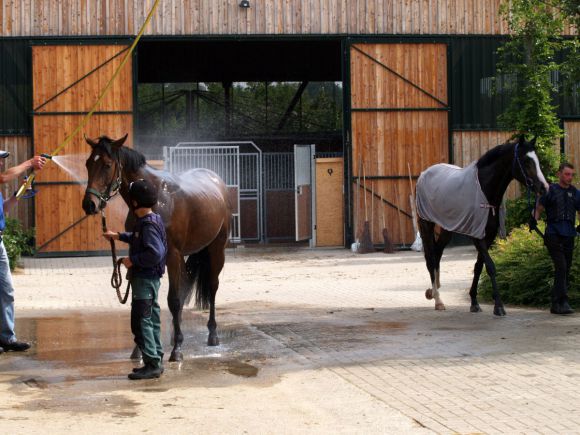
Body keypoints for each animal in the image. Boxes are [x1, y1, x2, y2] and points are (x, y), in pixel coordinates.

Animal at [81, 135, 231, 362]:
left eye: (107, 165)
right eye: (88, 163)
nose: (89, 204)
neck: (155, 199)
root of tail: (216, 181)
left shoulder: (172, 255)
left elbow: (174, 300)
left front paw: (177, 350)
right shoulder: (140, 252)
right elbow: (142, 299)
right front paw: (140, 350)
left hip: (216, 250)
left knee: (212, 287)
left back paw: (212, 335)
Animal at [416, 136, 548, 316]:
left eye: (537, 160)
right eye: (526, 161)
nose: (544, 187)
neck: (486, 192)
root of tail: (424, 174)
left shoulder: (489, 235)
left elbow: (479, 266)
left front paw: (474, 302)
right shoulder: (477, 235)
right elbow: (490, 266)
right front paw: (498, 306)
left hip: (446, 227)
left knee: (437, 253)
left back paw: (435, 293)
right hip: (426, 224)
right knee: (431, 258)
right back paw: (438, 299)